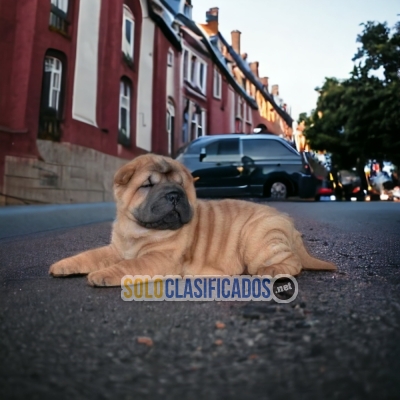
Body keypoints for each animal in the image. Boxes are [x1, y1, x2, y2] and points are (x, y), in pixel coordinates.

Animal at [50, 154, 338, 288]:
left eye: (181, 185)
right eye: (148, 185)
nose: (174, 195)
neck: (138, 230)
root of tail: (288, 222)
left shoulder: (159, 258)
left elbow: (128, 265)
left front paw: (102, 275)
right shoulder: (115, 249)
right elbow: (89, 255)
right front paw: (62, 265)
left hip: (259, 240)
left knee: (293, 262)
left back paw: (270, 271)